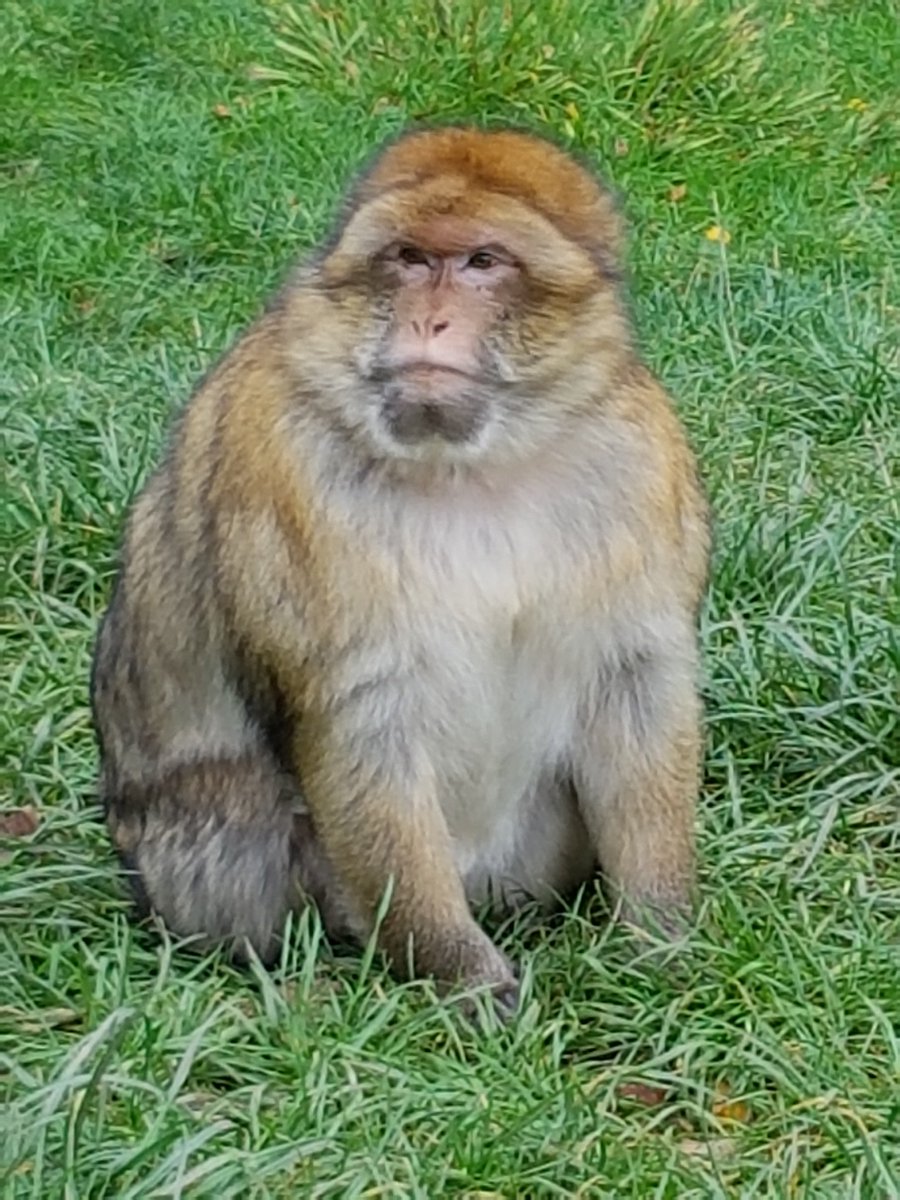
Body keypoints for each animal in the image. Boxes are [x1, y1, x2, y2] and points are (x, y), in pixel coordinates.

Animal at [90, 125, 710, 1016]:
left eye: (483, 261)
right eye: (410, 258)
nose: (431, 320)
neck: (473, 464)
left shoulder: (642, 455)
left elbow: (637, 685)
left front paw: (663, 943)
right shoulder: (285, 472)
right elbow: (362, 716)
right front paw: (462, 974)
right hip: (186, 866)